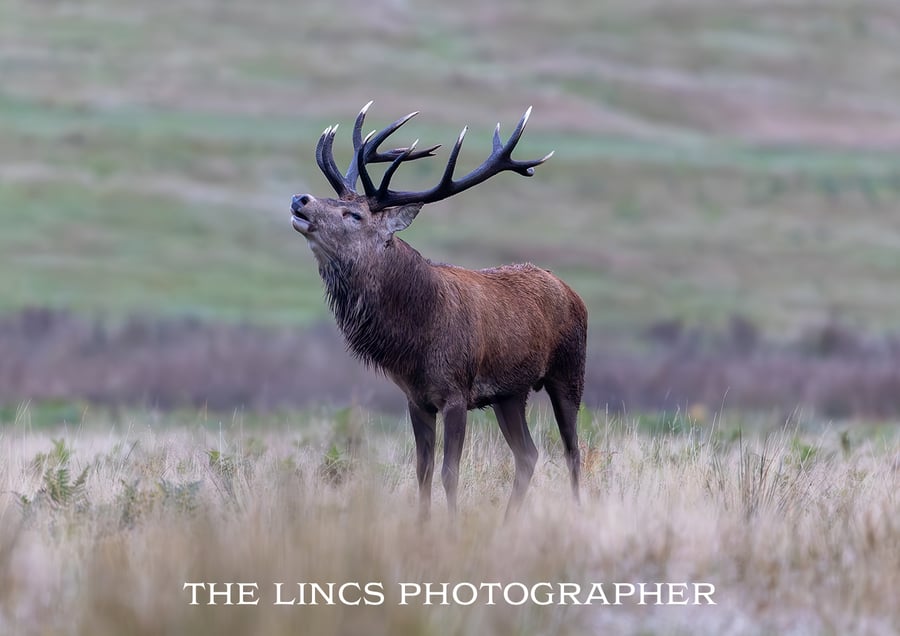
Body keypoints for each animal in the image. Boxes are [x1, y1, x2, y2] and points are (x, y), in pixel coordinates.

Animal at [290, 102, 587, 520]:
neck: (417, 337)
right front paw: (423, 524)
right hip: (510, 393)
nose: (300, 199)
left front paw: (451, 524)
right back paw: (508, 521)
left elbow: (450, 472)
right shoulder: (416, 398)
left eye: (354, 215)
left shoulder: (456, 392)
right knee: (528, 454)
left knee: (573, 450)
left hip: (569, 370)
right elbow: (423, 470)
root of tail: (571, 291)